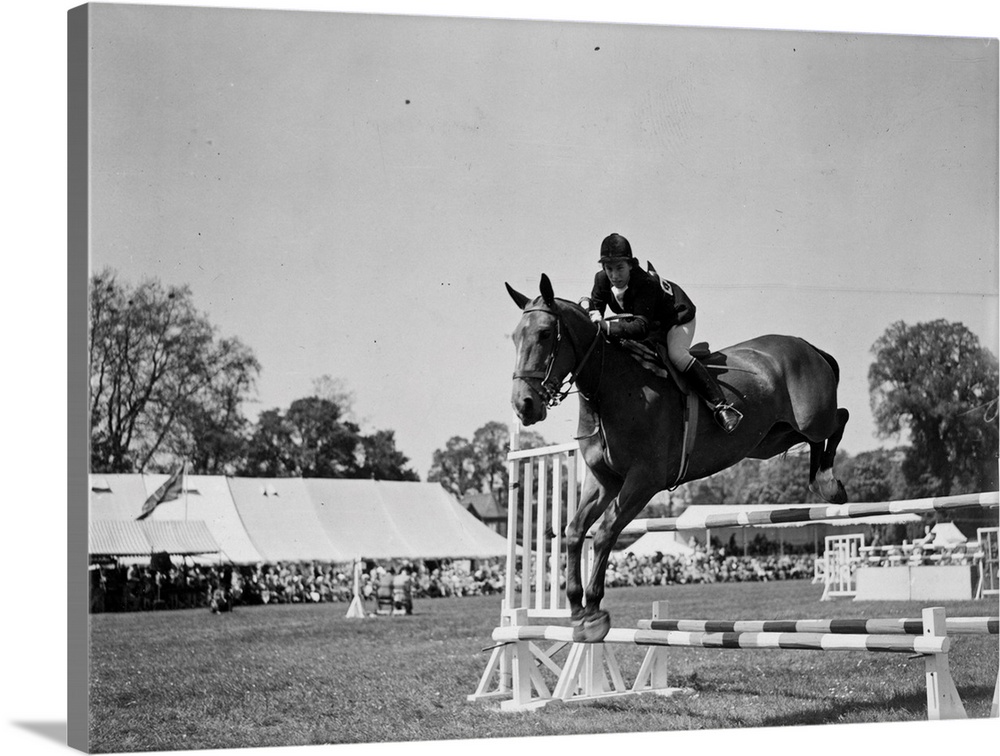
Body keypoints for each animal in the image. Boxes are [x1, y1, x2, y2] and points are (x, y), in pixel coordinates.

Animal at [504, 274, 848, 640]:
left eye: (544, 334)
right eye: (515, 337)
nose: (524, 405)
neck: (611, 388)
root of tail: (809, 347)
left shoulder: (644, 480)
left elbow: (605, 532)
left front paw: (594, 611)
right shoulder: (603, 481)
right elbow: (574, 531)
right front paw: (576, 609)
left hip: (812, 418)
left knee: (839, 419)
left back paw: (829, 483)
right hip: (770, 439)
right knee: (814, 439)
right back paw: (820, 481)